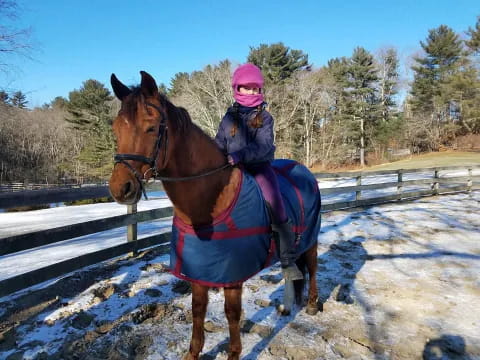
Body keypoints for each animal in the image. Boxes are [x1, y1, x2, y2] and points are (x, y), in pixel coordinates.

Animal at [108, 71, 318, 360]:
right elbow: (197, 310)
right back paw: (286, 307)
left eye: (150, 128)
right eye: (116, 129)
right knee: (291, 272)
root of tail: (303, 170)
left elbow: (232, 315)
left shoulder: (232, 278)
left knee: (313, 268)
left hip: (311, 240)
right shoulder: (199, 271)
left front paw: (234, 353)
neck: (210, 200)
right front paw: (193, 353)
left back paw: (312, 305)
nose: (120, 189)